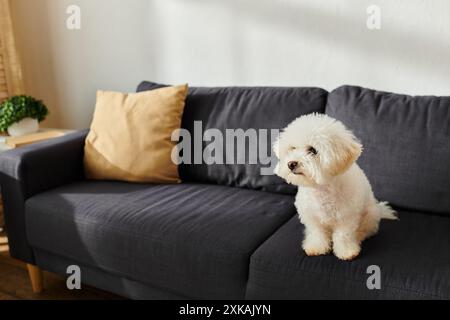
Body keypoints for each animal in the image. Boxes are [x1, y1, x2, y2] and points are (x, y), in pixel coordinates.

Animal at [274, 114, 398, 262]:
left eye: (312, 150)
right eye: (292, 148)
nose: (291, 164)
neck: (321, 190)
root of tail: (379, 209)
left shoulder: (346, 218)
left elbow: (343, 235)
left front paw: (347, 252)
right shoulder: (312, 217)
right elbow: (317, 233)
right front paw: (317, 247)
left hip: (370, 215)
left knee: (366, 230)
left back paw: (359, 236)